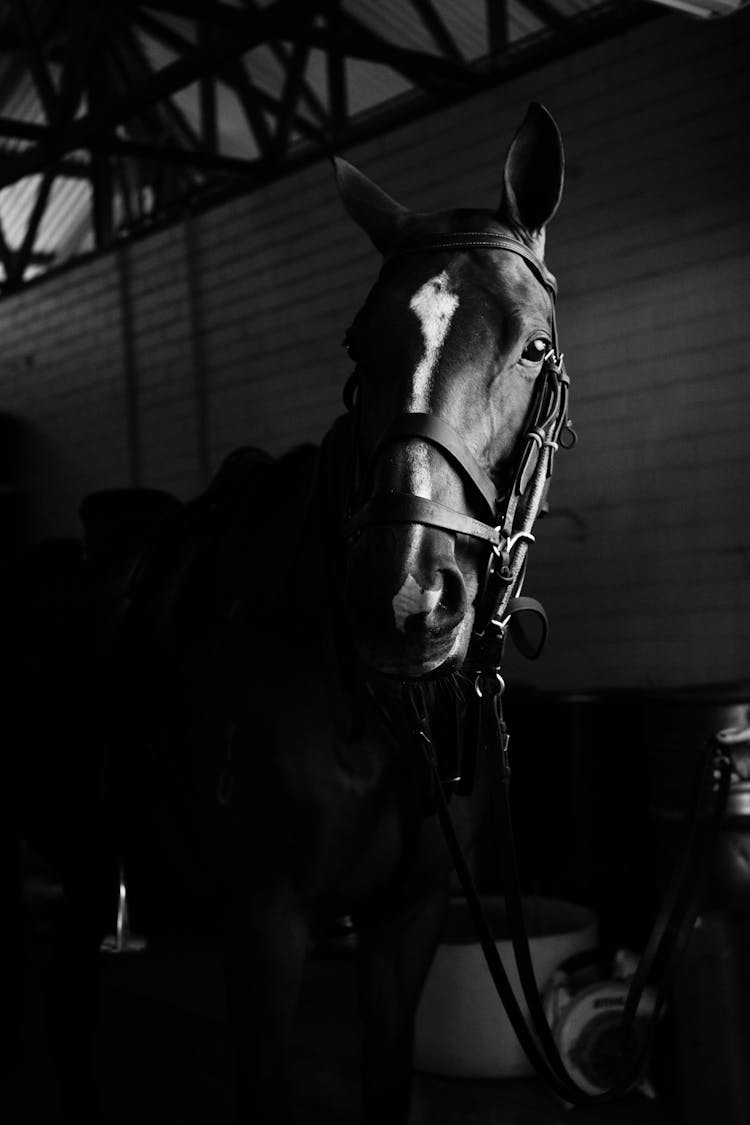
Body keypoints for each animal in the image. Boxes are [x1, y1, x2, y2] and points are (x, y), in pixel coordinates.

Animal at [4, 101, 568, 1120]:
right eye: (356, 344)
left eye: (534, 346)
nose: (406, 598)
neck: (379, 711)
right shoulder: (263, 926)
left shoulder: (405, 924)